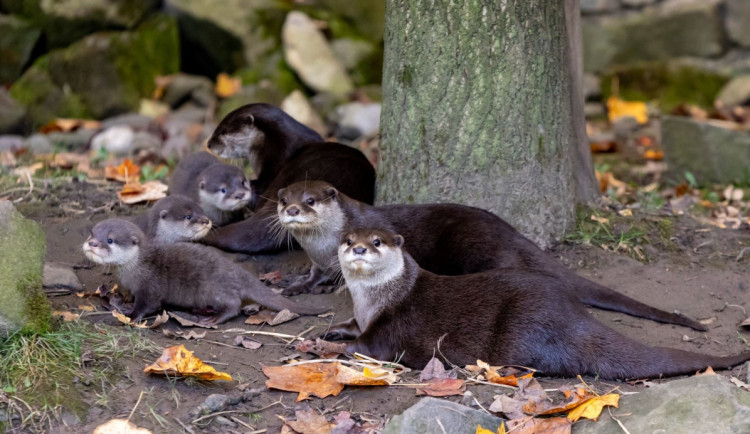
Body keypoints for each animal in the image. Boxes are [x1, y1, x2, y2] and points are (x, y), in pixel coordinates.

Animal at [83, 219, 328, 324]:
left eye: (110, 240)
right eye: (92, 233)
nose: (91, 244)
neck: (134, 270)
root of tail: (239, 272)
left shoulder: (150, 286)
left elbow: (149, 305)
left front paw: (131, 315)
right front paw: (121, 302)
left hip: (214, 288)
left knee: (234, 305)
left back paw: (215, 318)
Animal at [276, 181, 704, 330]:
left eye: (311, 200)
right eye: (283, 199)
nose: (292, 209)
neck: (323, 246)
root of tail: (512, 233)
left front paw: (330, 288)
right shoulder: (315, 259)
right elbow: (311, 275)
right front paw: (297, 285)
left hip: (476, 249)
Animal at [306, 227, 750, 380]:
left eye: (377, 241)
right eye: (348, 239)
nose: (359, 248)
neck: (377, 301)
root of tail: (575, 318)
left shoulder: (389, 331)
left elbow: (366, 347)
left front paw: (325, 345)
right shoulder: (364, 316)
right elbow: (352, 328)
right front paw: (333, 329)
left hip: (524, 328)